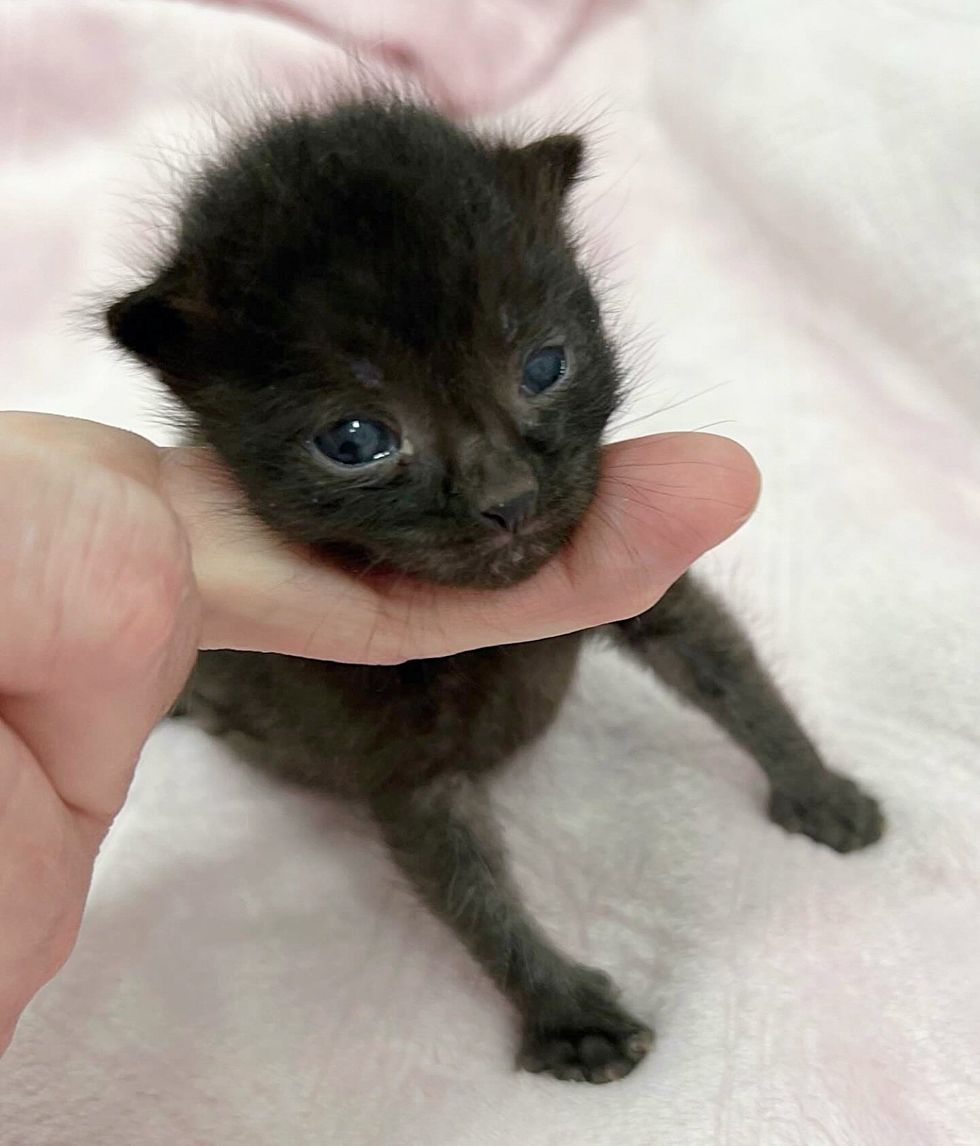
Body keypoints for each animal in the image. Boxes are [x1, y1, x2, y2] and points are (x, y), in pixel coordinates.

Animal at [105, 98, 880, 1081]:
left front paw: (817, 788)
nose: (507, 498)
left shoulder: (640, 582)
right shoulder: (400, 753)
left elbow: (728, 670)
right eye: (354, 440)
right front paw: (568, 1018)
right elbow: (468, 889)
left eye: (544, 367)